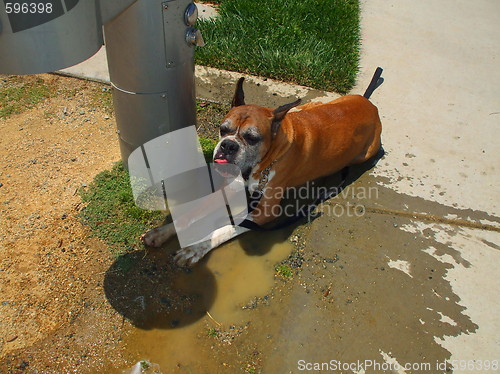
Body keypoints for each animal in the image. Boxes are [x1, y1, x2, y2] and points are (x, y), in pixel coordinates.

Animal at [142, 74, 382, 266]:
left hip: (367, 152)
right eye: (223, 129)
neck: (266, 161)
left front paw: (195, 248)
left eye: (252, 138)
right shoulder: (228, 188)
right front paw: (163, 231)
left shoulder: (264, 213)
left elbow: (223, 229)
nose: (228, 146)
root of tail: (370, 105)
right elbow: (194, 211)